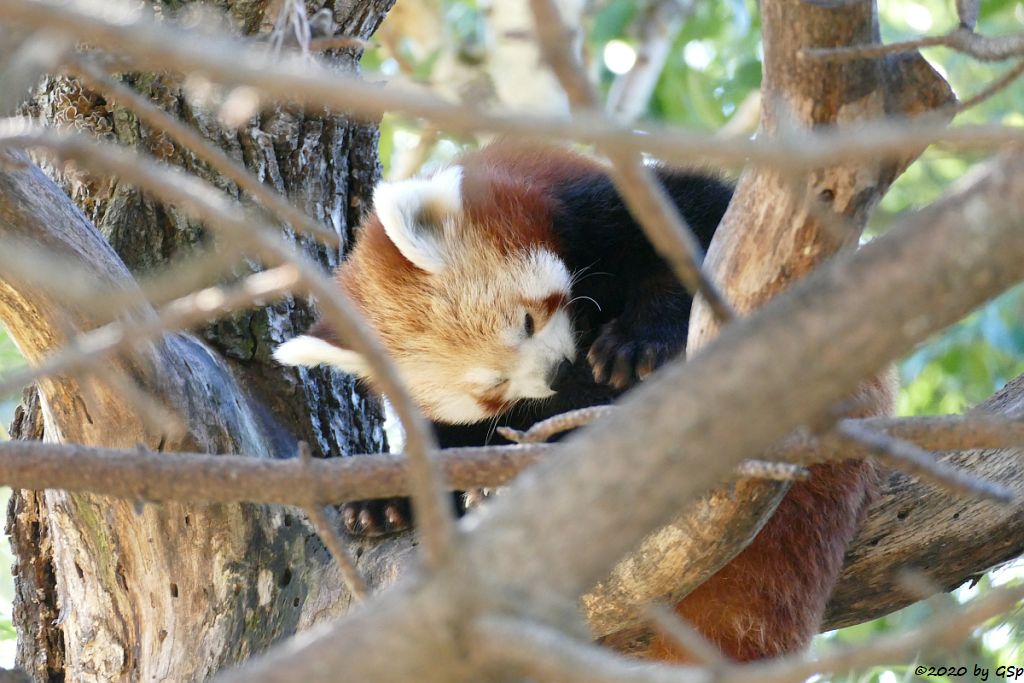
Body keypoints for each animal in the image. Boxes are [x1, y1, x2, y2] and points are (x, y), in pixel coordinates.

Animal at [274, 143, 888, 663]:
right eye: (490, 388)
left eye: (526, 321)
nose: (557, 373)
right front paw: (389, 498)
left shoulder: (585, 198)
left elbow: (699, 220)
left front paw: (637, 341)